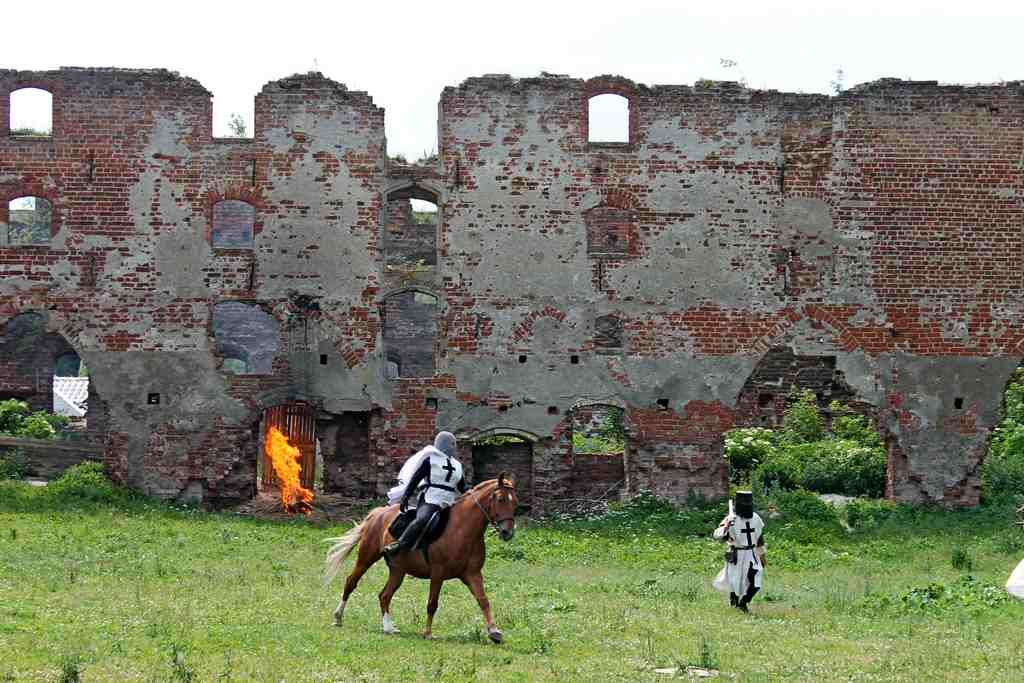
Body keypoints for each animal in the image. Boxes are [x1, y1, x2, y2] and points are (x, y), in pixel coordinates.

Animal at [325, 475, 520, 643]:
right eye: (500, 499)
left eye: (515, 502)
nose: (507, 532)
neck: (462, 529)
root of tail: (378, 513)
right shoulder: (438, 573)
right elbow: (432, 603)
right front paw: (427, 633)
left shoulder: (472, 574)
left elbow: (483, 600)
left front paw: (494, 632)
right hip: (366, 558)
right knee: (351, 582)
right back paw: (338, 618)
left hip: (398, 570)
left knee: (384, 595)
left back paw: (388, 628)